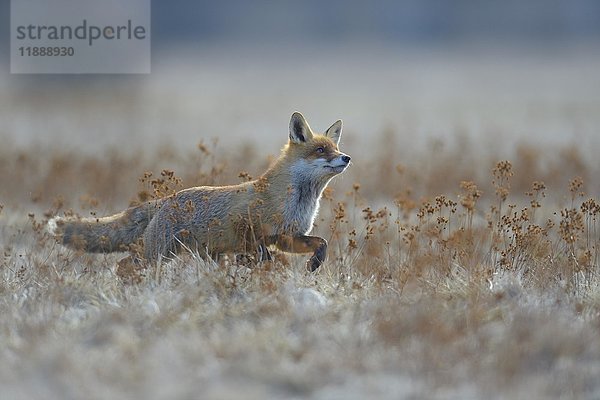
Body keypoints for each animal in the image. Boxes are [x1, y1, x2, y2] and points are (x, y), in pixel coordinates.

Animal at [51, 112, 354, 272]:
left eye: (335, 148)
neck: (297, 202)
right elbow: (263, 257)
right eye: (321, 150)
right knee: (125, 264)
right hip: (158, 253)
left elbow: (321, 243)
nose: (346, 157)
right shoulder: (248, 229)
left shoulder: (287, 237)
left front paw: (314, 264)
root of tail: (169, 199)